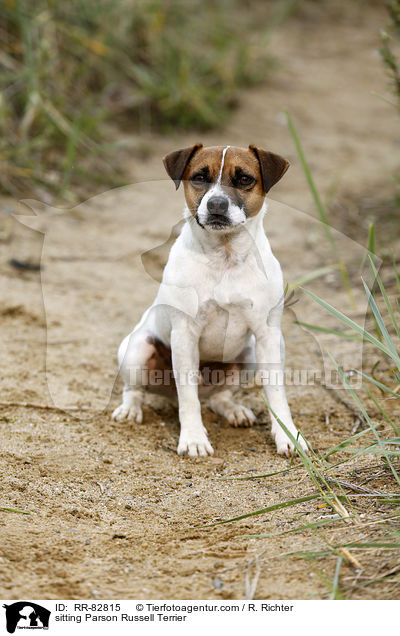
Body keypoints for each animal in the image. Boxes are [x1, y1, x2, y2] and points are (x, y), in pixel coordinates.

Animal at [112, 144, 306, 458]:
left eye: (244, 179)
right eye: (200, 177)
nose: (216, 204)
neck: (225, 257)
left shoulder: (268, 337)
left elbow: (277, 394)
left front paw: (288, 436)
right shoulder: (184, 337)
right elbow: (188, 398)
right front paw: (193, 438)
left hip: (249, 356)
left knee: (219, 396)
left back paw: (233, 409)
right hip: (138, 350)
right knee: (136, 389)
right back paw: (130, 409)